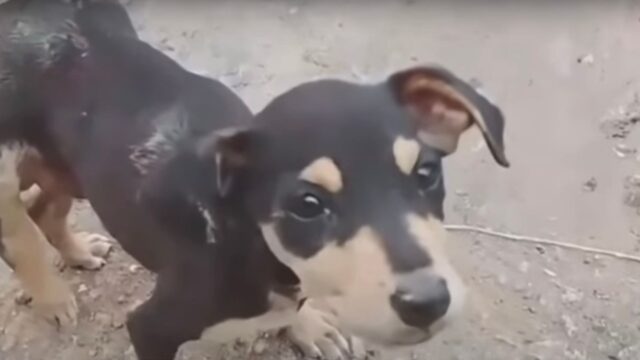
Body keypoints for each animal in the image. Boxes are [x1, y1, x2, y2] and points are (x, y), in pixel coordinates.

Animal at [1, 0, 510, 358]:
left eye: (426, 173)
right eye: (307, 205)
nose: (427, 302)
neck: (258, 251)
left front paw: (308, 326)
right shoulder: (151, 327)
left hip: (70, 166)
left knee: (43, 209)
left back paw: (78, 252)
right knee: (20, 236)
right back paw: (52, 298)